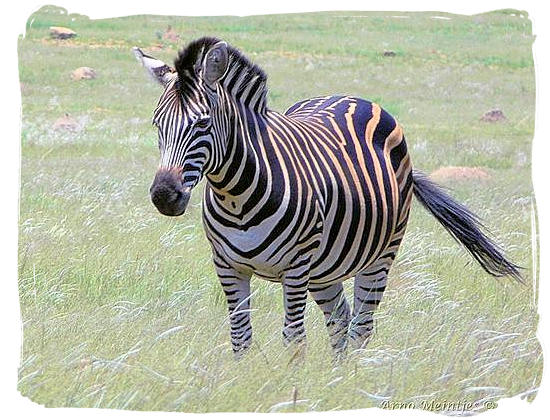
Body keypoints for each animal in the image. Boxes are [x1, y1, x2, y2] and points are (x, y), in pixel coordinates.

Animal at [133, 37, 520, 356]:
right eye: (157, 124)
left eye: (202, 124)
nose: (164, 196)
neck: (236, 197)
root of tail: (350, 97)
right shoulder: (228, 267)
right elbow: (240, 337)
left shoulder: (295, 267)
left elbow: (293, 339)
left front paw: (289, 392)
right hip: (325, 269)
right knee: (340, 321)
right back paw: (336, 378)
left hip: (381, 253)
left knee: (362, 326)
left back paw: (350, 384)